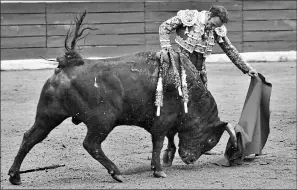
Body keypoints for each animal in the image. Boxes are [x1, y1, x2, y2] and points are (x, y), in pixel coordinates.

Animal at [6, 11, 236, 184]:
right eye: (210, 139)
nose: (189, 159)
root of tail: (68, 64)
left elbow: (166, 139)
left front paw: (162, 163)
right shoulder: (162, 121)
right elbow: (159, 141)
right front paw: (159, 170)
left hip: (48, 115)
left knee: (30, 137)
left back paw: (15, 176)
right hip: (102, 121)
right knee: (91, 144)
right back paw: (116, 172)